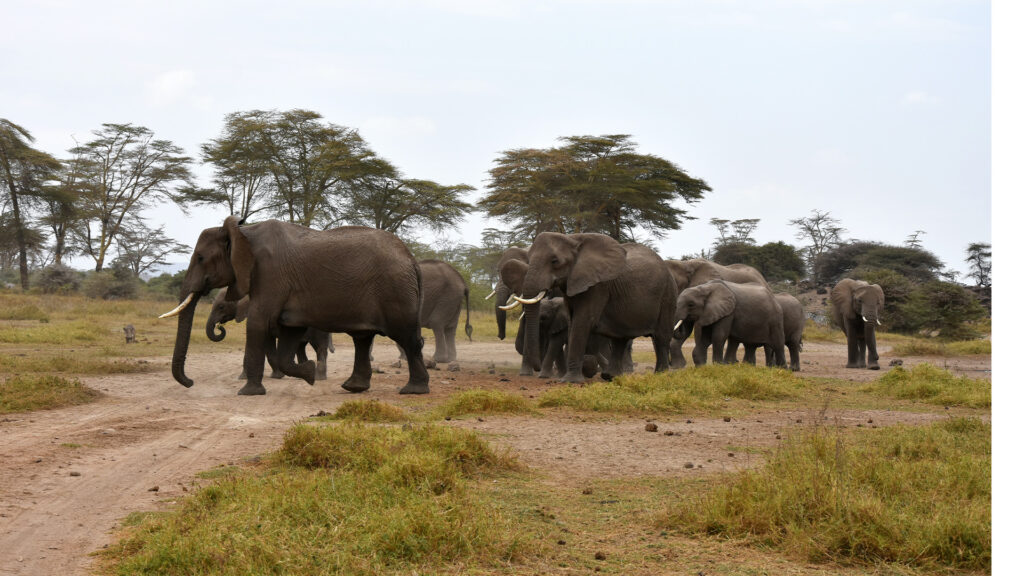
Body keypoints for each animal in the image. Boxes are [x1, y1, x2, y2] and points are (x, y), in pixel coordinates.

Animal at [205, 289, 333, 379]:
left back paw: (319, 378)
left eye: (221, 306)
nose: (219, 326)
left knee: (320, 347)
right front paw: (242, 377)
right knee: (301, 348)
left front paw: (277, 376)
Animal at [516, 228, 675, 381]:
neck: (573, 239)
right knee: (620, 338)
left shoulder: (598, 286)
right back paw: (610, 376)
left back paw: (661, 375)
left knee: (661, 337)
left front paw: (569, 381)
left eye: (554, 261)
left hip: (667, 293)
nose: (536, 368)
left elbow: (583, 321)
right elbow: (572, 321)